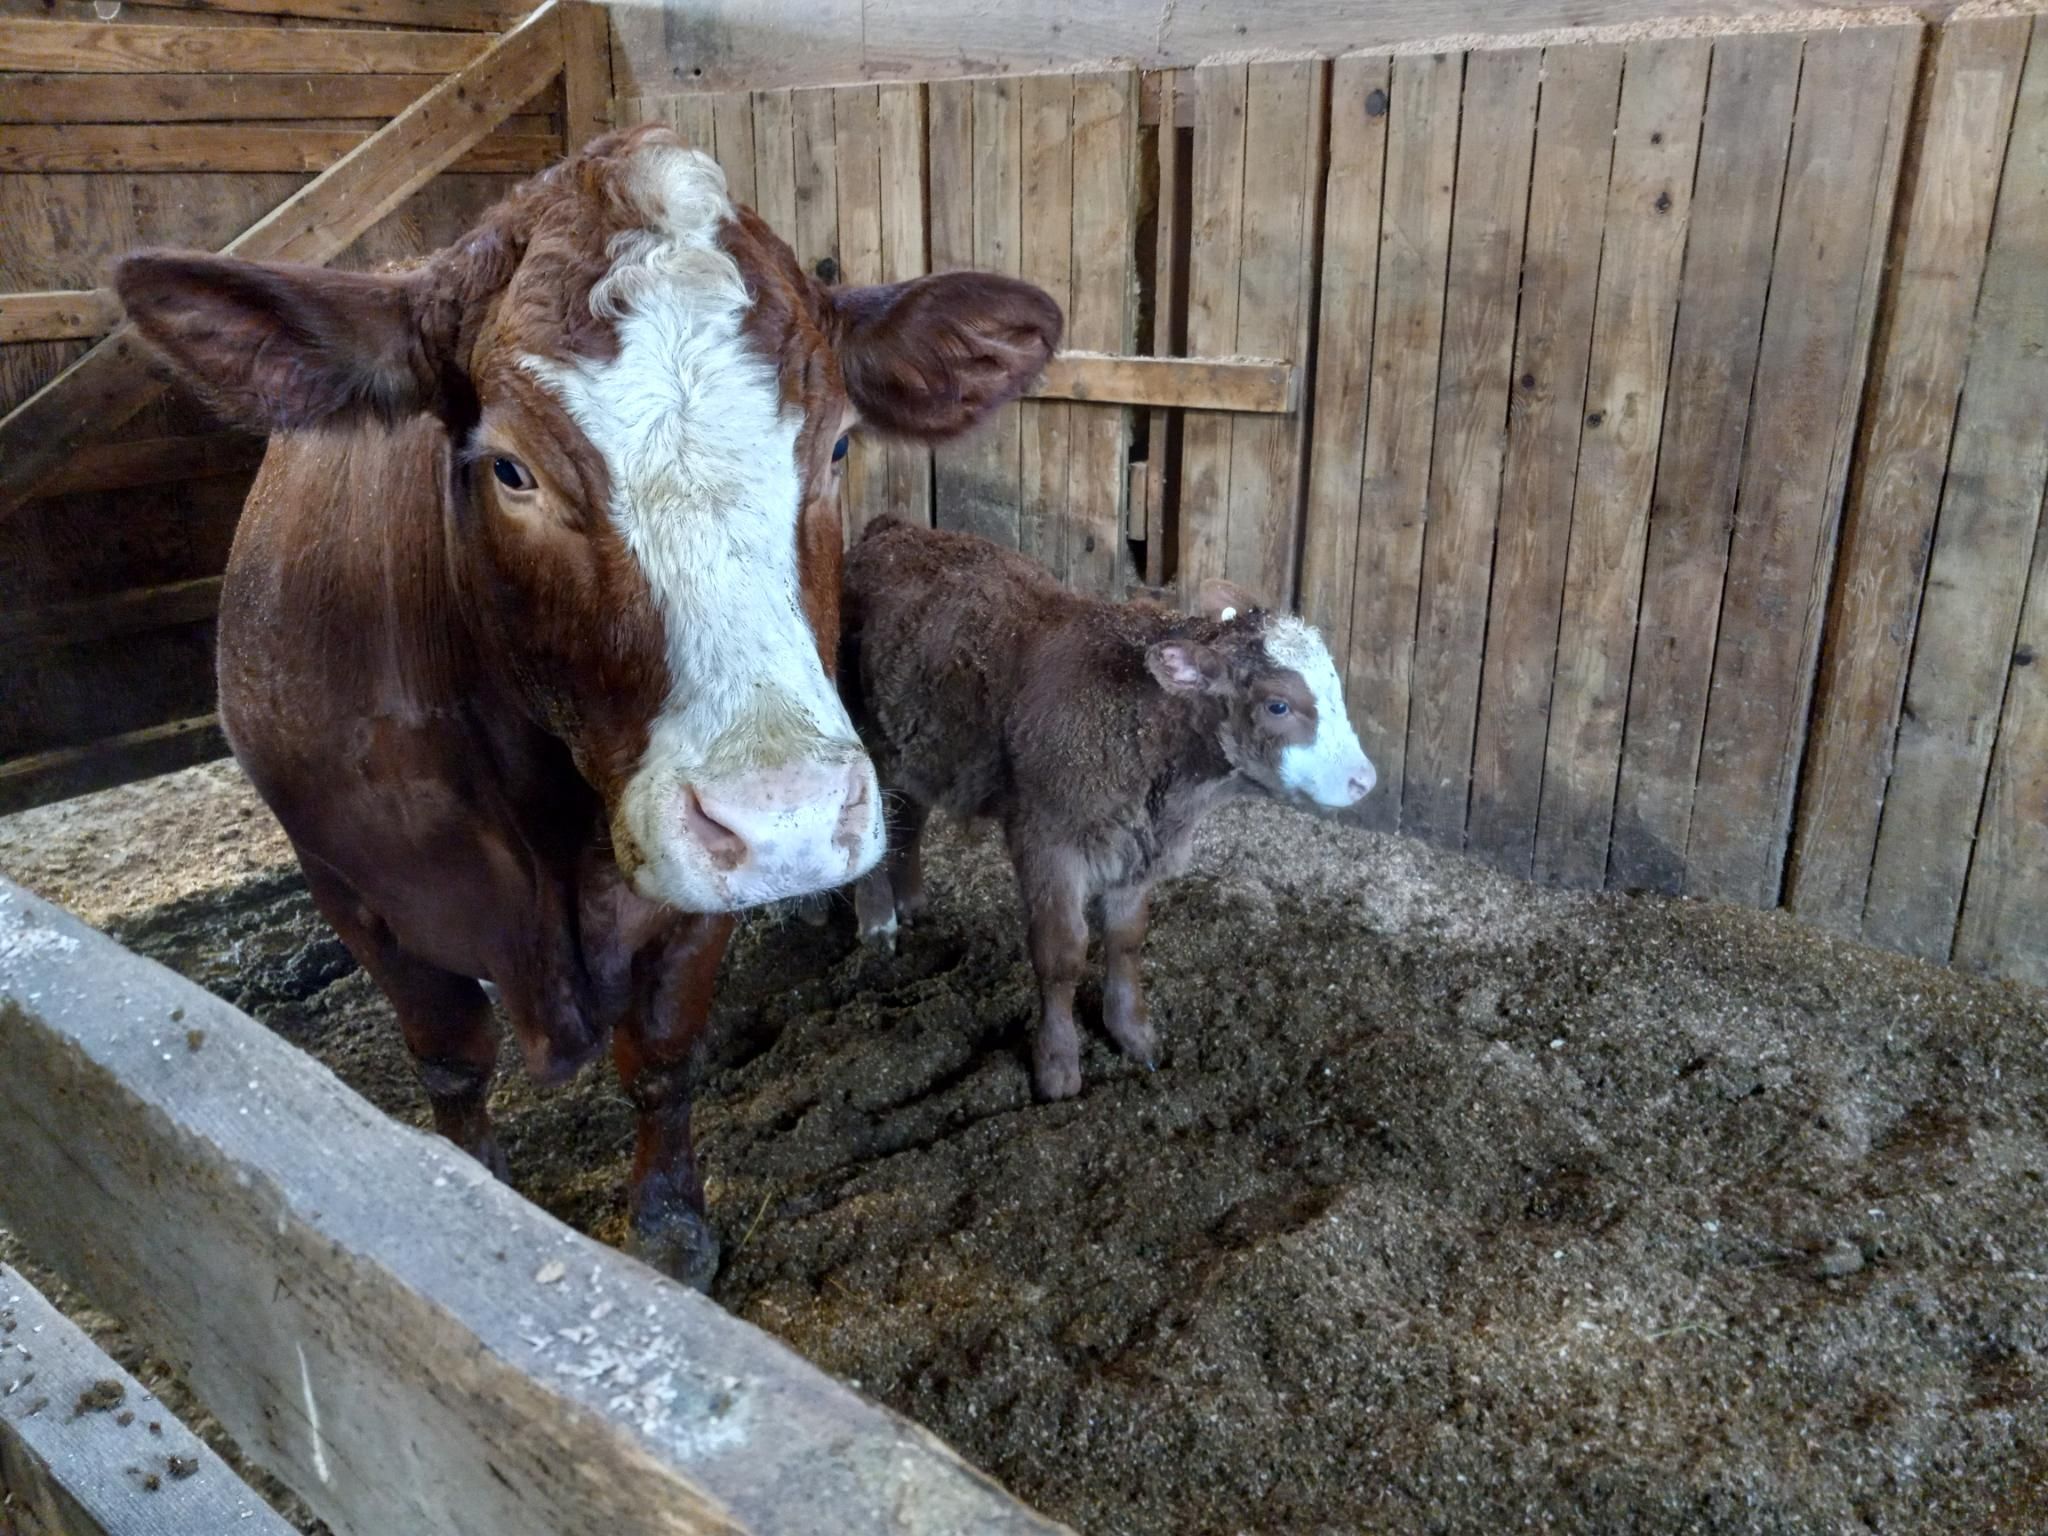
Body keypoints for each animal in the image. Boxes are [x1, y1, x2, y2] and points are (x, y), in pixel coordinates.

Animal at [113, 126, 1062, 1288]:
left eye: (838, 445)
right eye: (510, 470)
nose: (783, 818)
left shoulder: (688, 898)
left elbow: (660, 1052)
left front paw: (669, 1221)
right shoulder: (352, 879)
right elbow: (450, 1060)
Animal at [839, 516, 1377, 1100]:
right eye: (1278, 705)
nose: (1363, 780)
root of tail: (894, 528)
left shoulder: (1141, 843)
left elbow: (1125, 939)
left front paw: (1132, 1032)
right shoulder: (1046, 839)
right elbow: (1062, 954)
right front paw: (1057, 1064)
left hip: (920, 745)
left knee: (910, 818)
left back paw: (912, 901)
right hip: (862, 731)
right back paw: (878, 922)